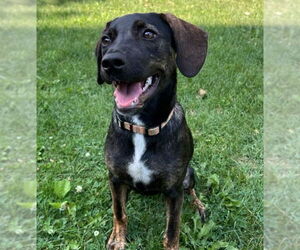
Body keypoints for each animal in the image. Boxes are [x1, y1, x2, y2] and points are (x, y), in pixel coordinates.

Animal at [95, 12, 207, 250]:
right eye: (106, 39)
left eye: (148, 34)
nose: (109, 63)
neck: (141, 128)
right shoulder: (115, 179)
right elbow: (119, 213)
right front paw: (118, 239)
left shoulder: (174, 190)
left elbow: (173, 228)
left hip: (188, 174)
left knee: (191, 190)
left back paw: (200, 206)